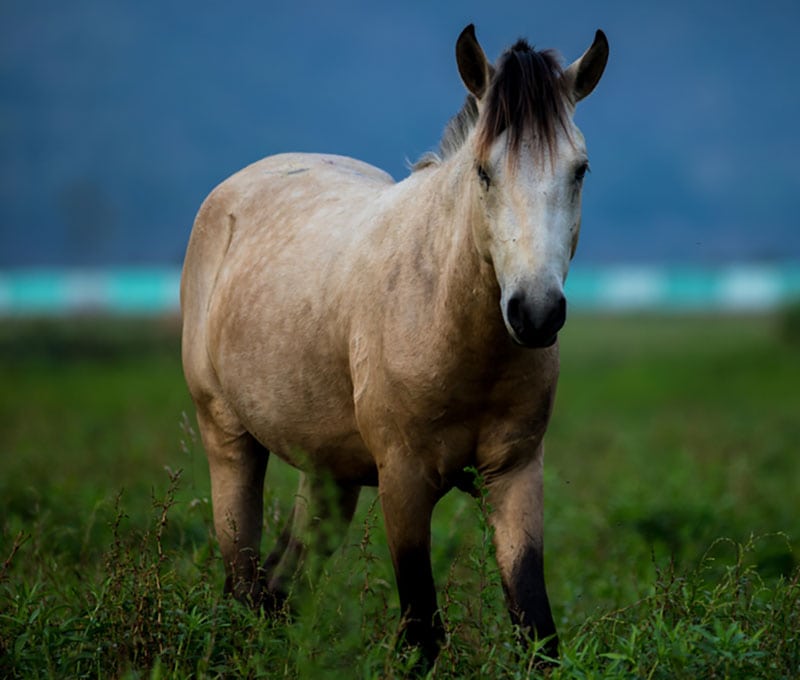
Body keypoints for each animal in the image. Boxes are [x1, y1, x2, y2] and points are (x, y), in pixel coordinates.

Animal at [181, 24, 608, 664]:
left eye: (579, 170)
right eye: (483, 171)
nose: (535, 313)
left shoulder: (514, 475)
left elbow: (535, 625)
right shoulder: (404, 483)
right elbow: (421, 633)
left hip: (327, 474)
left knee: (279, 586)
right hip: (230, 443)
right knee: (242, 581)